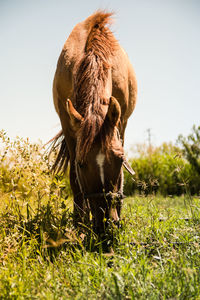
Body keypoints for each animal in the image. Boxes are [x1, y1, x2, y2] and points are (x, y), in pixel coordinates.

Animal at [51, 10, 138, 234]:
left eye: (119, 160)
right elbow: (74, 180)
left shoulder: (120, 123)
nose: (106, 224)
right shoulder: (68, 126)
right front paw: (79, 224)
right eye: (82, 164)